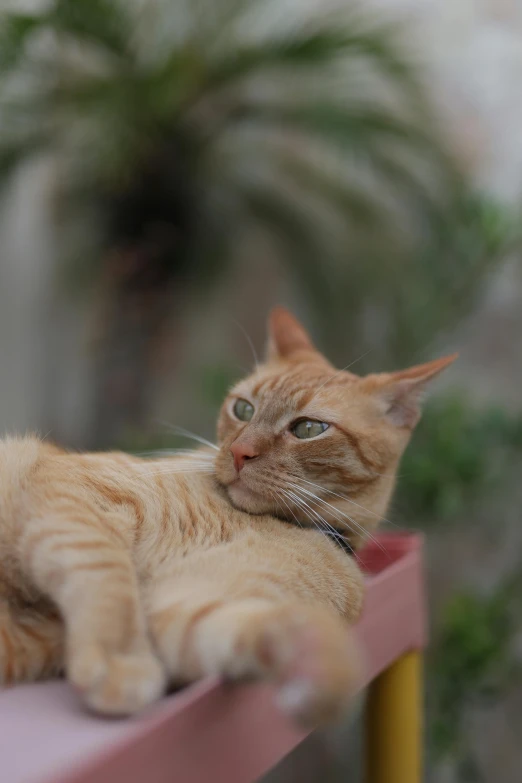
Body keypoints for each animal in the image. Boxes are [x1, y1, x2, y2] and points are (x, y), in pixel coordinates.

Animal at [0, 310, 452, 724]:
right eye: (243, 408)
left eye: (308, 429)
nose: (239, 452)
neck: (251, 520)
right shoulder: (77, 493)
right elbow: (107, 574)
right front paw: (120, 660)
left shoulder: (191, 605)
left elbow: (241, 630)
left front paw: (313, 655)